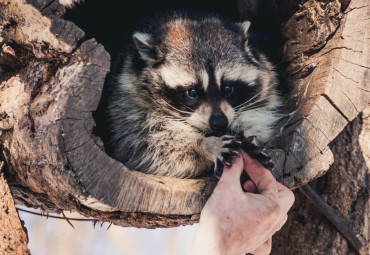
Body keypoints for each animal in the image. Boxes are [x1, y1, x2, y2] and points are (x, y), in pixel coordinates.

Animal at [106, 12, 280, 178]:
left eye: (228, 88)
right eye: (192, 92)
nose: (219, 122)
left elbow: (257, 116)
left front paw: (245, 134)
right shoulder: (126, 103)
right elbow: (150, 144)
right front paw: (205, 145)